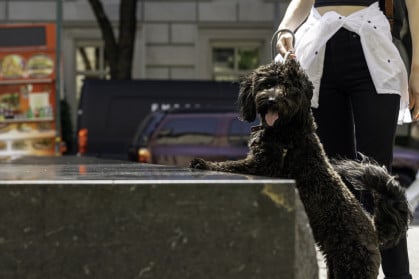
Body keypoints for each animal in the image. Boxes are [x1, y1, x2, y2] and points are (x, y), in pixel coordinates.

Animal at [191, 60, 414, 278]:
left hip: (353, 266)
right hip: (337, 265)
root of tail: (373, 230)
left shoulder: (262, 165)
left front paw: (204, 163)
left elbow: (230, 165)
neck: (287, 131)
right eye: (267, 84)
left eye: (289, 88)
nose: (272, 100)